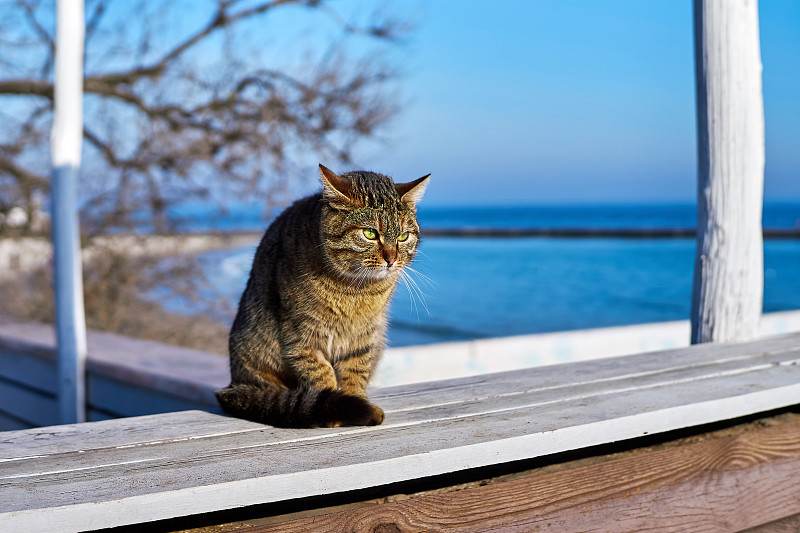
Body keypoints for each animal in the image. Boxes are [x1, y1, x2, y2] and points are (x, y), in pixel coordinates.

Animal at [212, 164, 424, 426]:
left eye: (403, 236)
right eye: (370, 233)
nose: (392, 259)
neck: (354, 288)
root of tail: (233, 383)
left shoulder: (364, 336)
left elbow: (356, 372)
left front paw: (357, 401)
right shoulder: (302, 336)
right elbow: (320, 375)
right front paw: (335, 409)